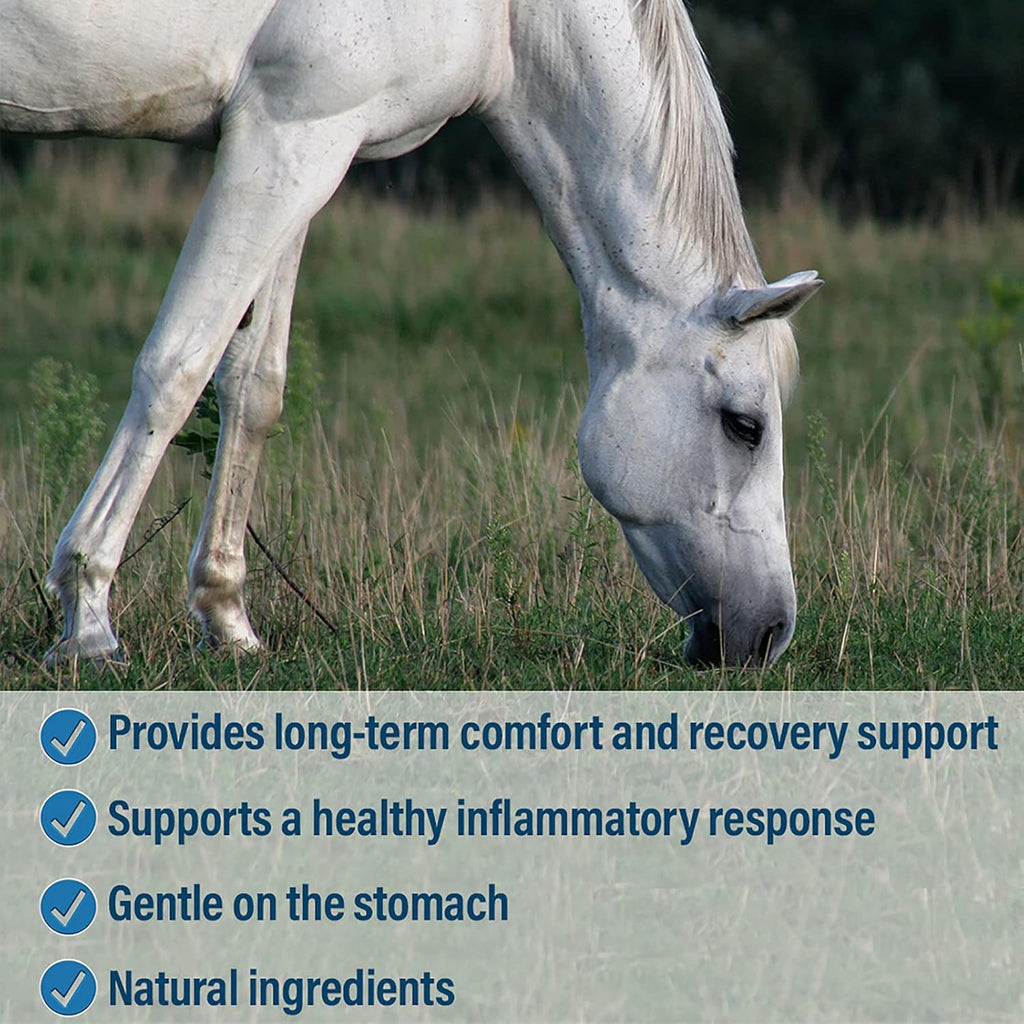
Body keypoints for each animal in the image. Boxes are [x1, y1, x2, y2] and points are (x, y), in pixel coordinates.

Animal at [0, 0, 821, 668]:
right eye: (744, 426)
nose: (771, 634)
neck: (508, 17)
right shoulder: (288, 134)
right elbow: (175, 368)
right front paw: (88, 618)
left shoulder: (300, 150)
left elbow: (253, 386)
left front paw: (227, 618)